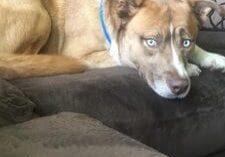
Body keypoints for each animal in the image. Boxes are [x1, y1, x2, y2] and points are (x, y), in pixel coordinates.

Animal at [0, 0, 224, 99]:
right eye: (151, 42)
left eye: (186, 42)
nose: (180, 87)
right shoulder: (79, 54)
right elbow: (122, 53)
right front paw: (191, 68)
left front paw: (213, 58)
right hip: (38, 13)